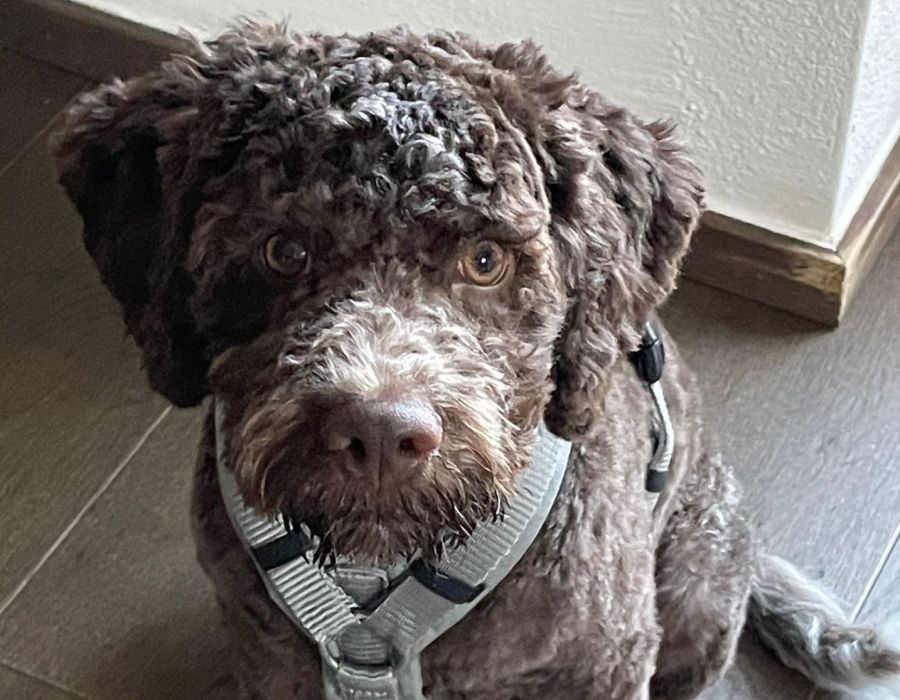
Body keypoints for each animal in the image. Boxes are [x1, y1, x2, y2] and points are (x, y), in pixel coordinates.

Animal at [55, 23, 900, 699]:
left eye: (486, 260)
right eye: (284, 251)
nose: (382, 434)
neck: (379, 568)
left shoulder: (603, 662)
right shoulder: (270, 657)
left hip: (694, 598)